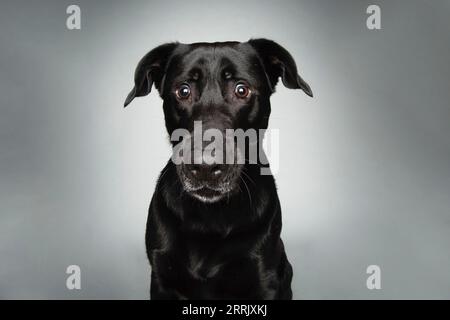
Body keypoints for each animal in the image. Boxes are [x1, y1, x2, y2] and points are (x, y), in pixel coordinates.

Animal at [124, 40, 312, 300]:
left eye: (241, 90)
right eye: (183, 91)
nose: (204, 166)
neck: (210, 217)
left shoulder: (265, 281)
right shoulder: (162, 280)